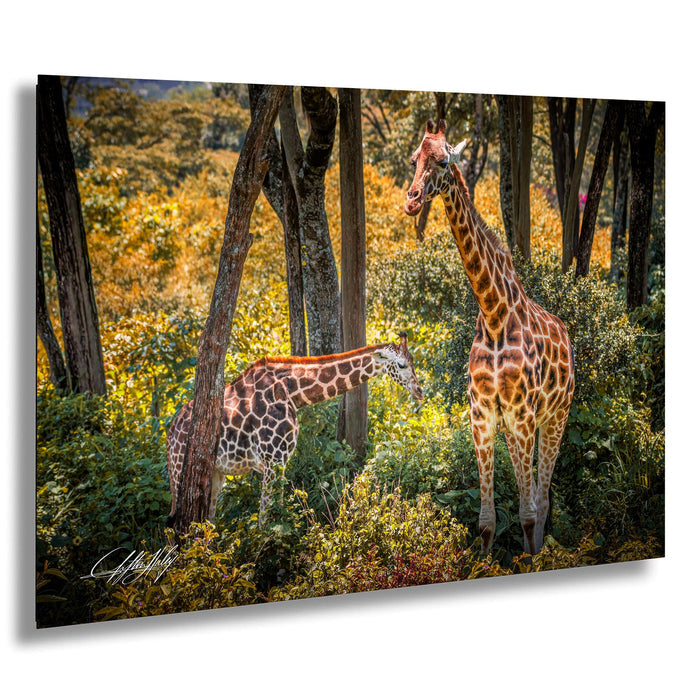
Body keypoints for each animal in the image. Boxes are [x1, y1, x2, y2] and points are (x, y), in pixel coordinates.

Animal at [166, 333, 423, 525]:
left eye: (413, 361)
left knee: (205, 521)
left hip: (215, 473)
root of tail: (169, 434)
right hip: (180, 472)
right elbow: (266, 517)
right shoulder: (273, 459)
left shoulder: (277, 462)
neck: (291, 391)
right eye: (402, 364)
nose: (419, 391)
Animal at [405, 119, 575, 554]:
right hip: (521, 424)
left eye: (444, 161)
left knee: (542, 499)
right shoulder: (481, 414)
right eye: (414, 160)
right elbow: (486, 520)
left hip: (555, 416)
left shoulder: (522, 413)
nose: (412, 201)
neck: (494, 314)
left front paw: (533, 559)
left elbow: (528, 512)